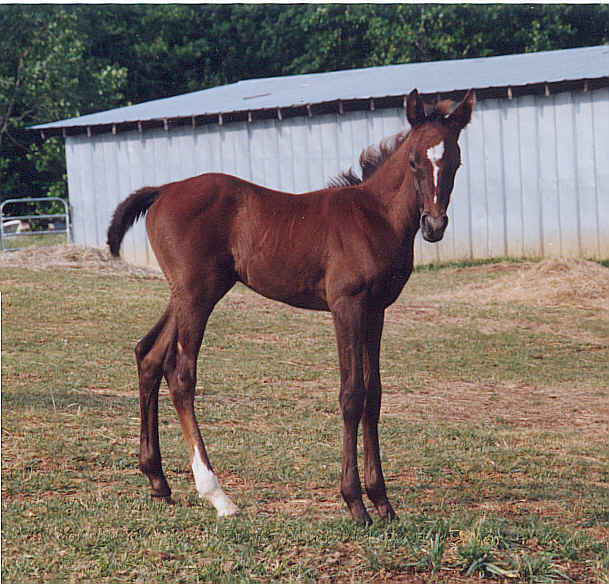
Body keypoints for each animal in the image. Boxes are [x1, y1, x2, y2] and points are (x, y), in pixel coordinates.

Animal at [107, 88, 475, 525]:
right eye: (415, 160)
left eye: (455, 161)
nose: (434, 226)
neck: (375, 217)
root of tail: (164, 190)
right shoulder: (346, 306)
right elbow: (351, 394)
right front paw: (355, 502)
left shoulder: (376, 310)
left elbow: (374, 395)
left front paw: (383, 501)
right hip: (197, 294)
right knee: (180, 374)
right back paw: (217, 495)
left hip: (187, 293)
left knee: (148, 355)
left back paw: (158, 481)